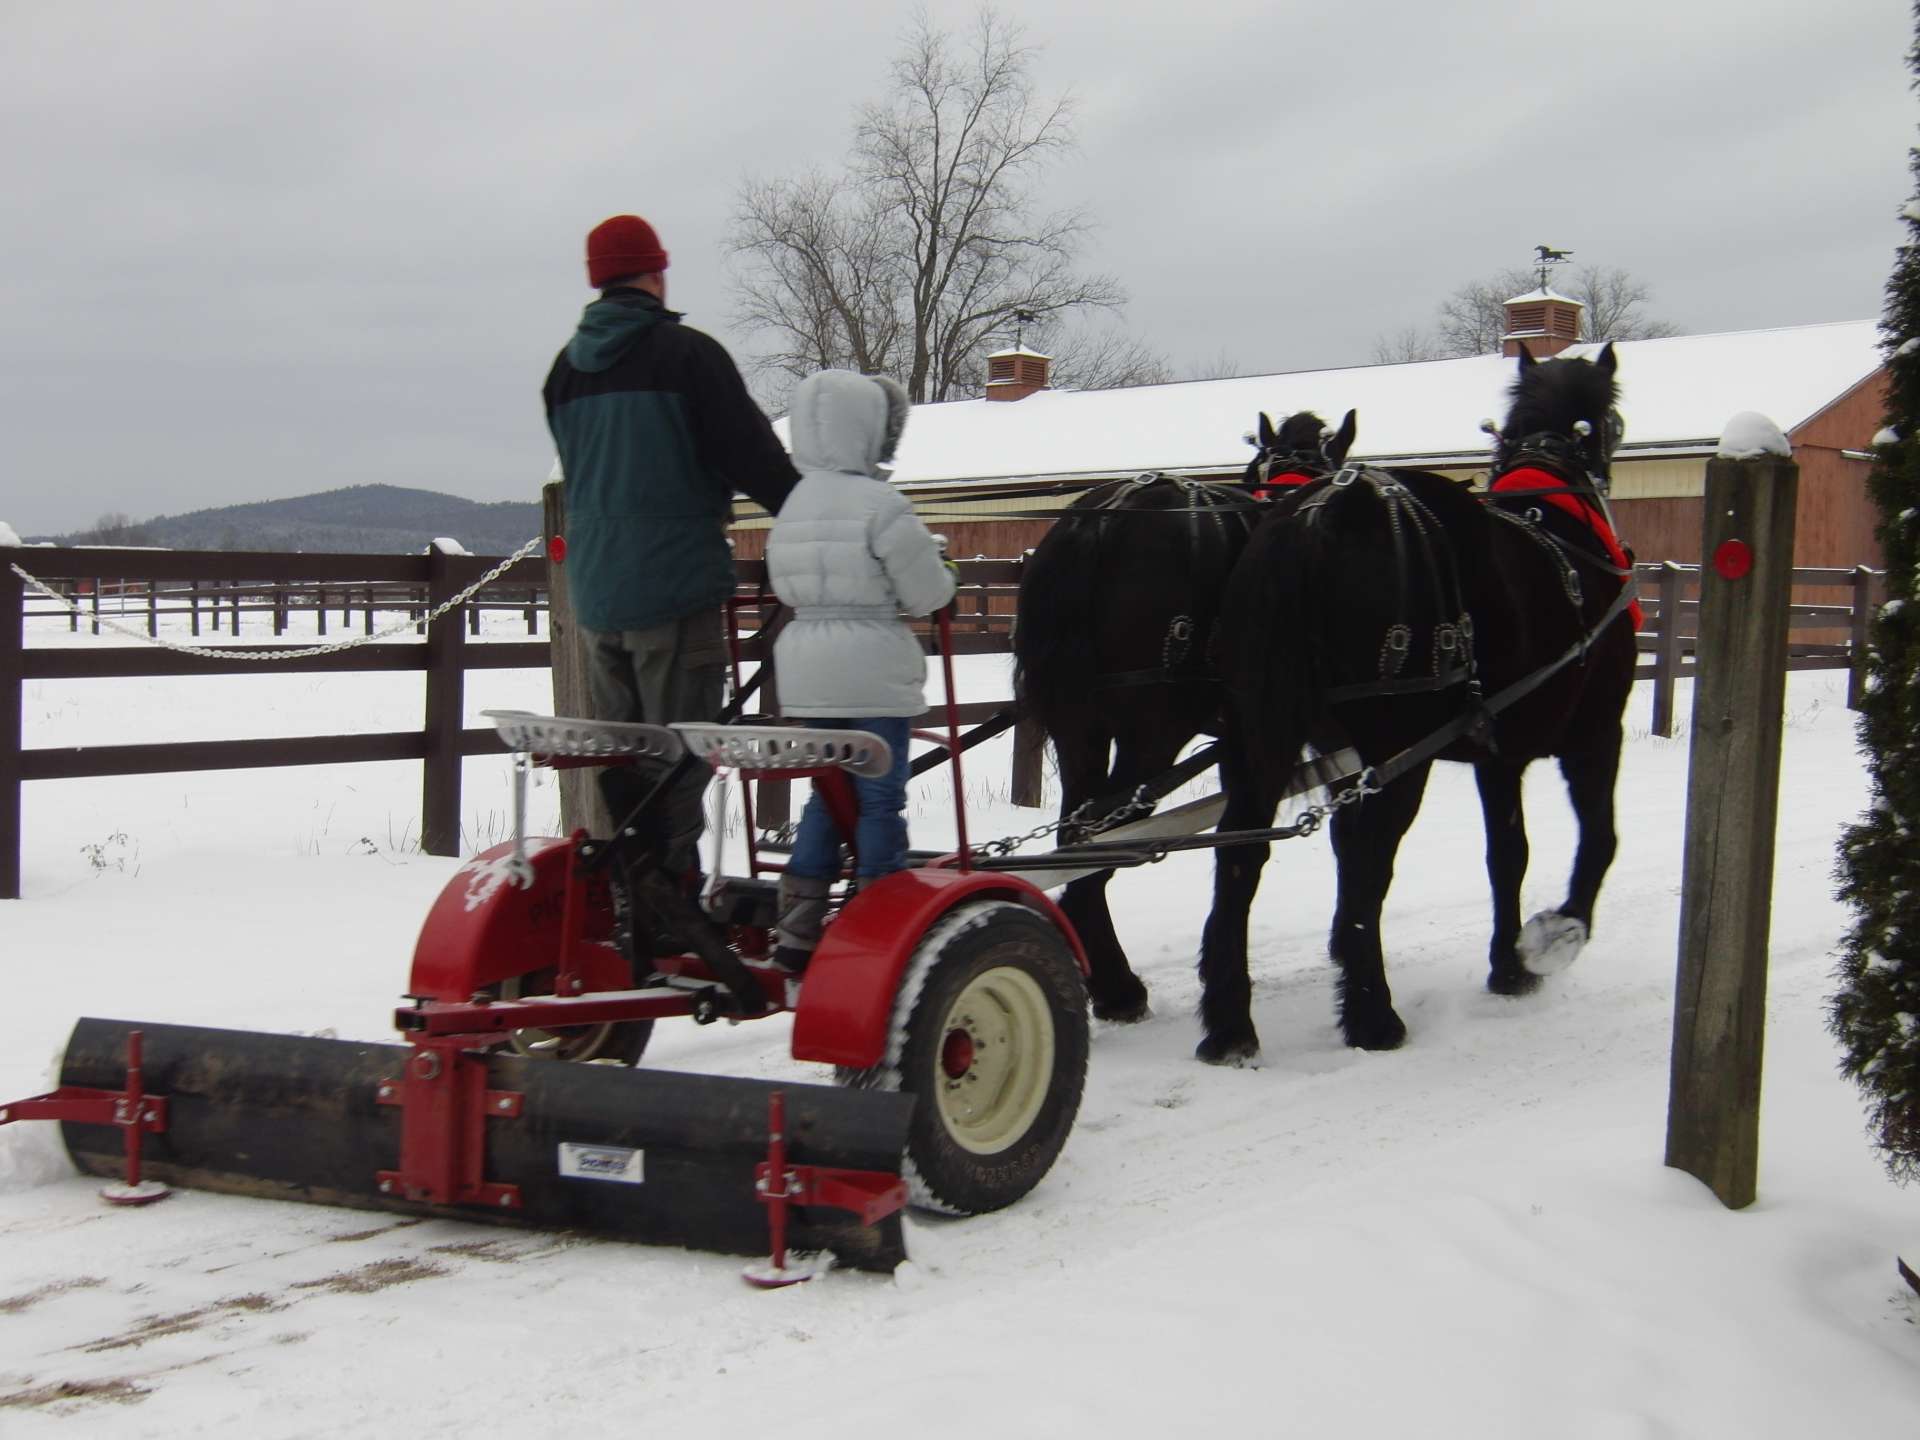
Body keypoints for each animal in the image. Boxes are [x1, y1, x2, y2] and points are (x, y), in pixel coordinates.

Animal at [1013, 414, 1359, 1029]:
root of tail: (1105, 522)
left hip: (1081, 727)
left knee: (1077, 834)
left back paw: (1107, 979)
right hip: (1153, 729)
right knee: (1102, 837)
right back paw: (1117, 985)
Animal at [1198, 347, 1635, 1067]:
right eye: (1613, 426)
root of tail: (1325, 514)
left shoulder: (1497, 754)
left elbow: (1506, 854)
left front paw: (1508, 966)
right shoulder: (1595, 733)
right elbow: (1598, 839)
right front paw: (1556, 936)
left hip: (1260, 738)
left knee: (1243, 854)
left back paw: (1231, 1024)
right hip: (1396, 748)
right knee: (1368, 863)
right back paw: (1372, 1015)